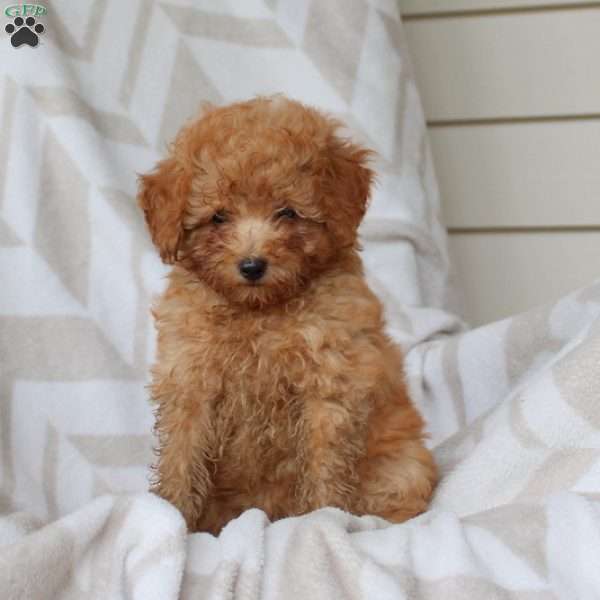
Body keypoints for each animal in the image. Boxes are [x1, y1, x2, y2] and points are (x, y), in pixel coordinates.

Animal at [142, 95, 440, 536]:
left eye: (287, 213)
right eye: (218, 217)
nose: (252, 266)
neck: (260, 312)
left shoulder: (330, 386)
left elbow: (324, 463)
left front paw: (323, 519)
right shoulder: (190, 381)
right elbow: (182, 455)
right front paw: (171, 514)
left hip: (402, 464)